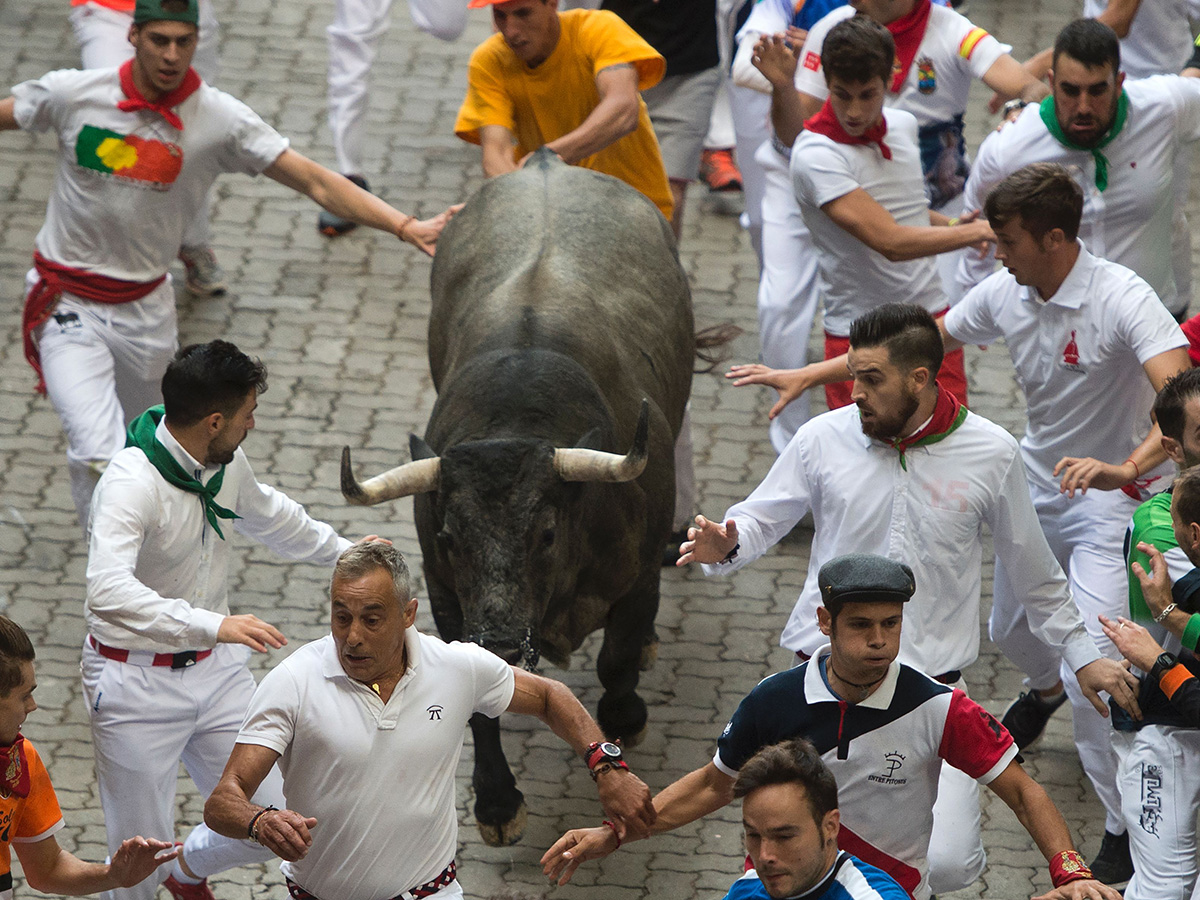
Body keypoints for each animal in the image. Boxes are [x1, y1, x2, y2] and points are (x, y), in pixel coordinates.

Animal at [338, 151, 696, 849]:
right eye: (449, 538)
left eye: (547, 533)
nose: (502, 643)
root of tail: (548, 163)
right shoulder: (448, 599)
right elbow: (477, 709)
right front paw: (498, 803)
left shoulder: (640, 574)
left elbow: (616, 658)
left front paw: (625, 714)